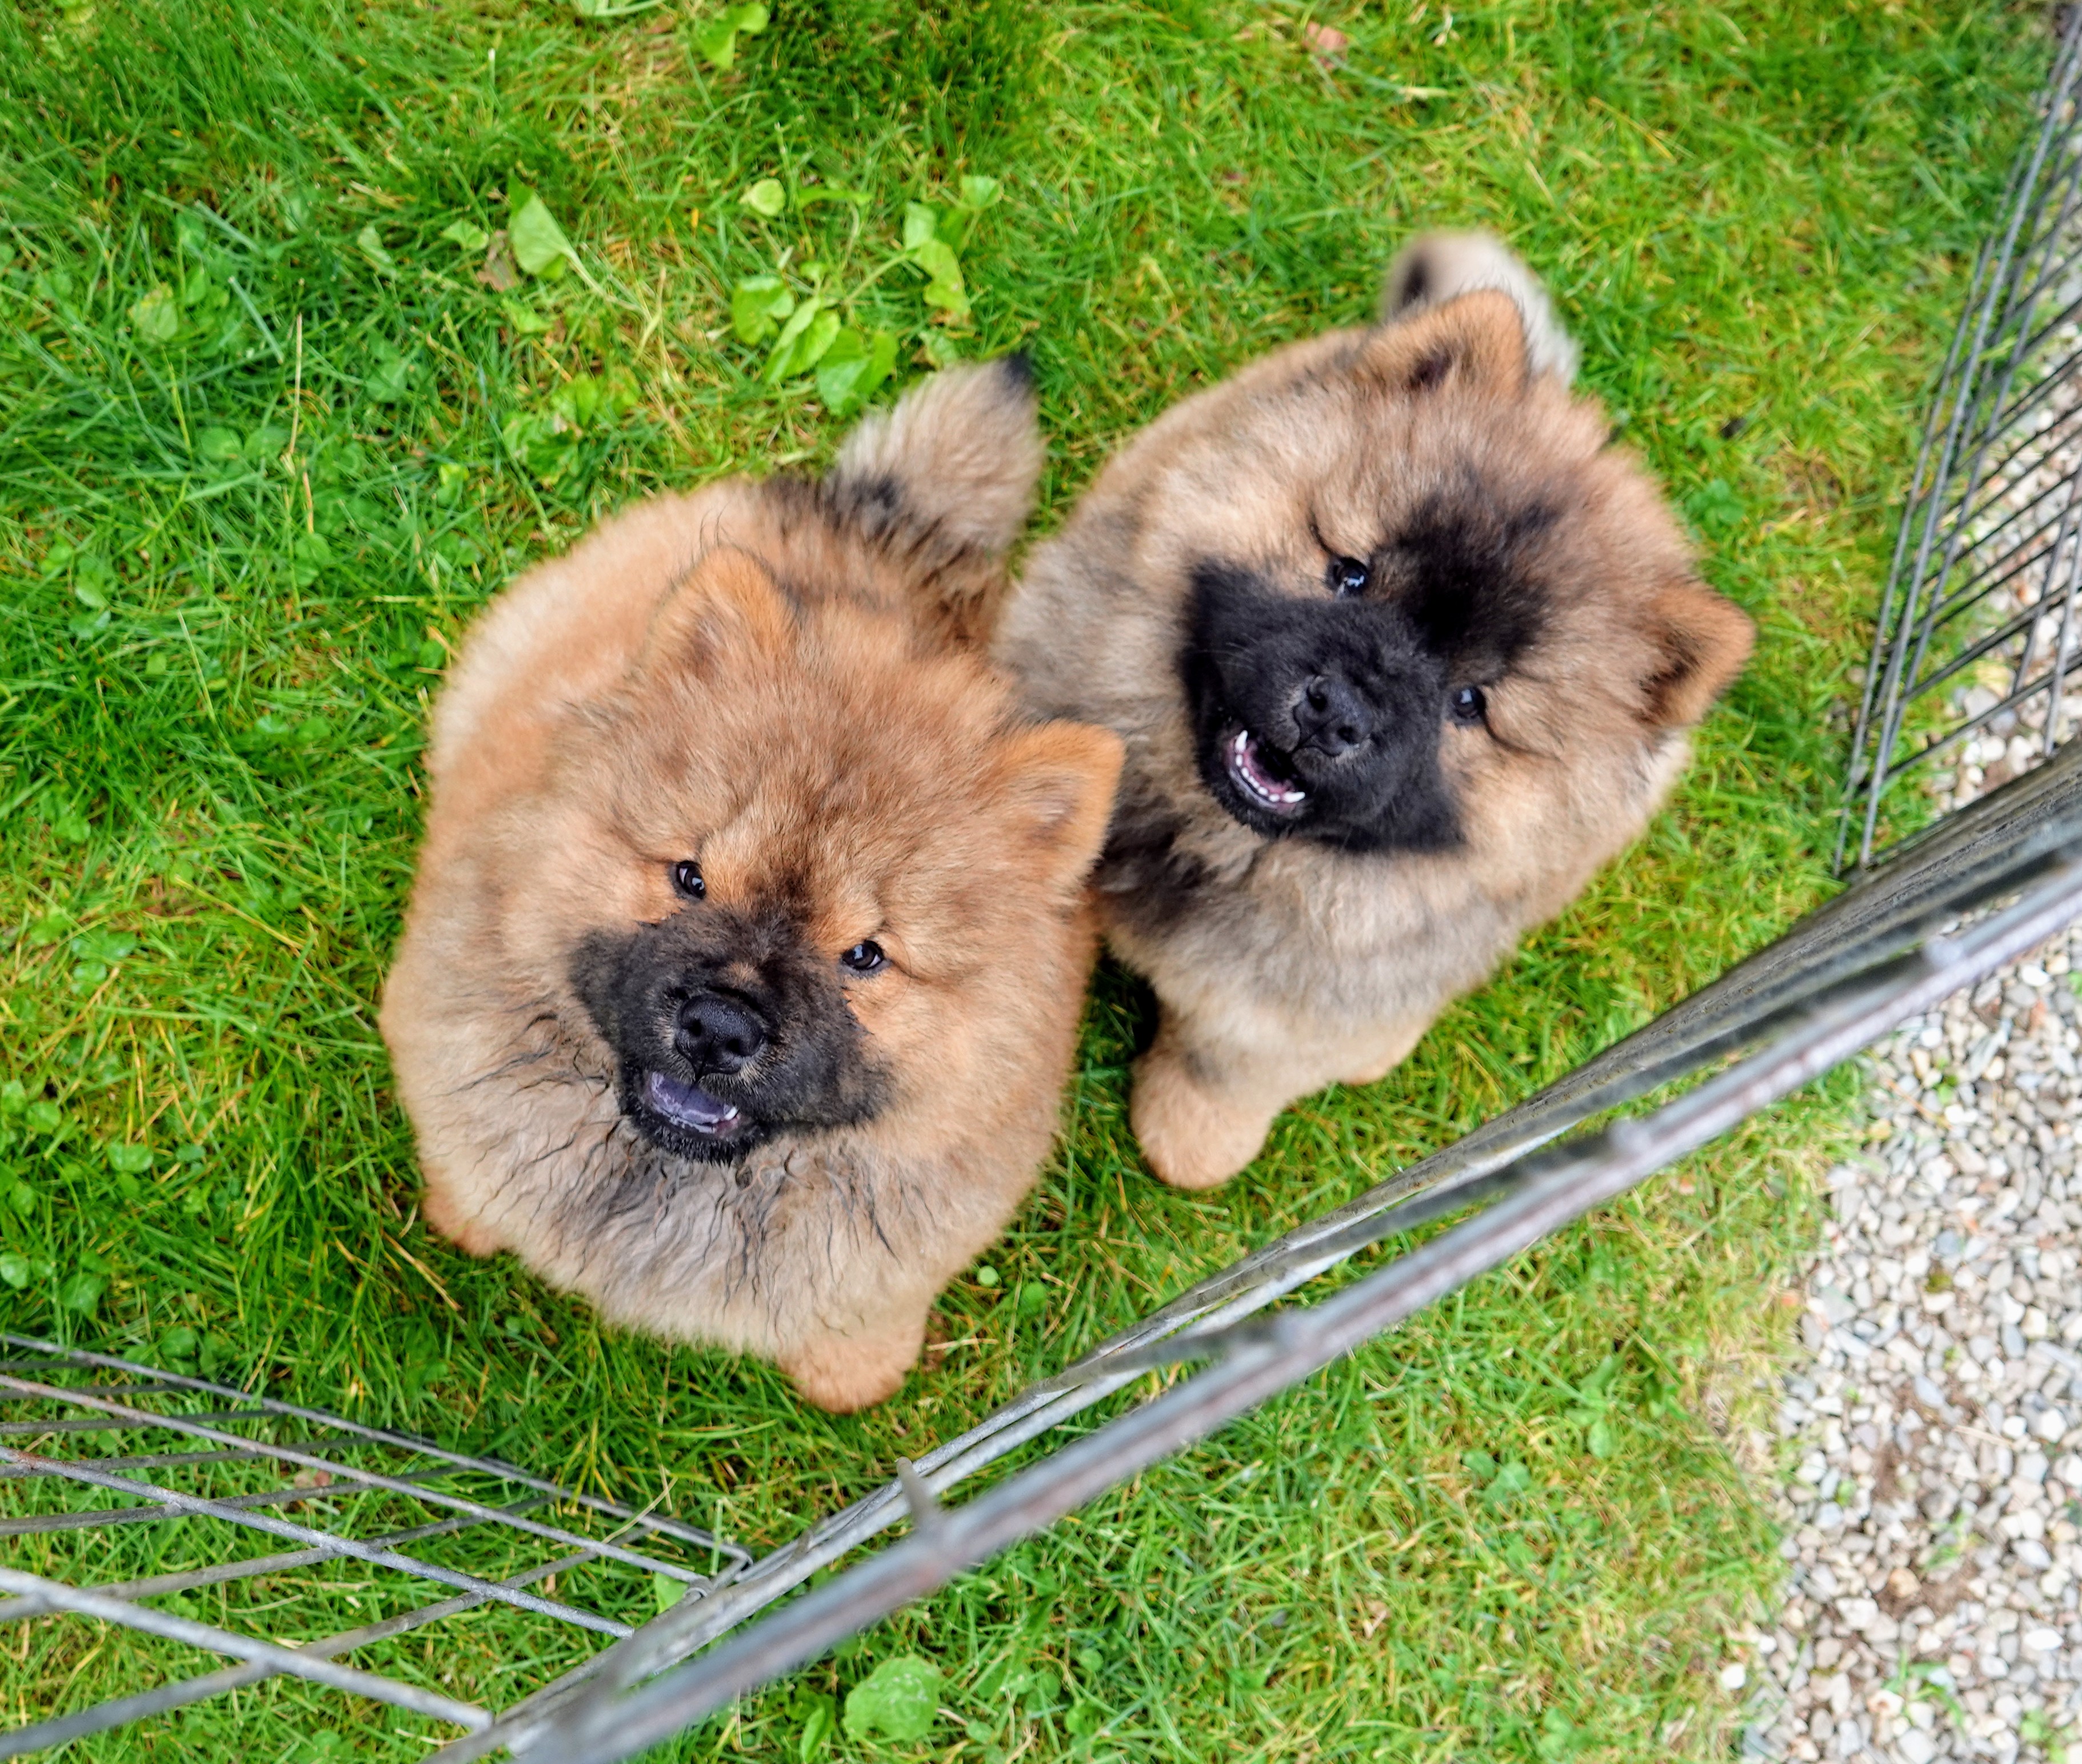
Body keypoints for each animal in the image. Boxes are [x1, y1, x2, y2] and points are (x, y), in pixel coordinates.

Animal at [374, 366, 1124, 1416]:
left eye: (864, 955)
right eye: (690, 877)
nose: (719, 1025)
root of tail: (865, 523)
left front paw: (852, 1380)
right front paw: (464, 1217)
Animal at [999, 234, 1749, 1191]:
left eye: (1468, 701)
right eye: (1348, 572)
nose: (1337, 712)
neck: (1216, 838)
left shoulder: (1283, 1010)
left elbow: (1222, 1068)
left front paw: (1185, 1144)